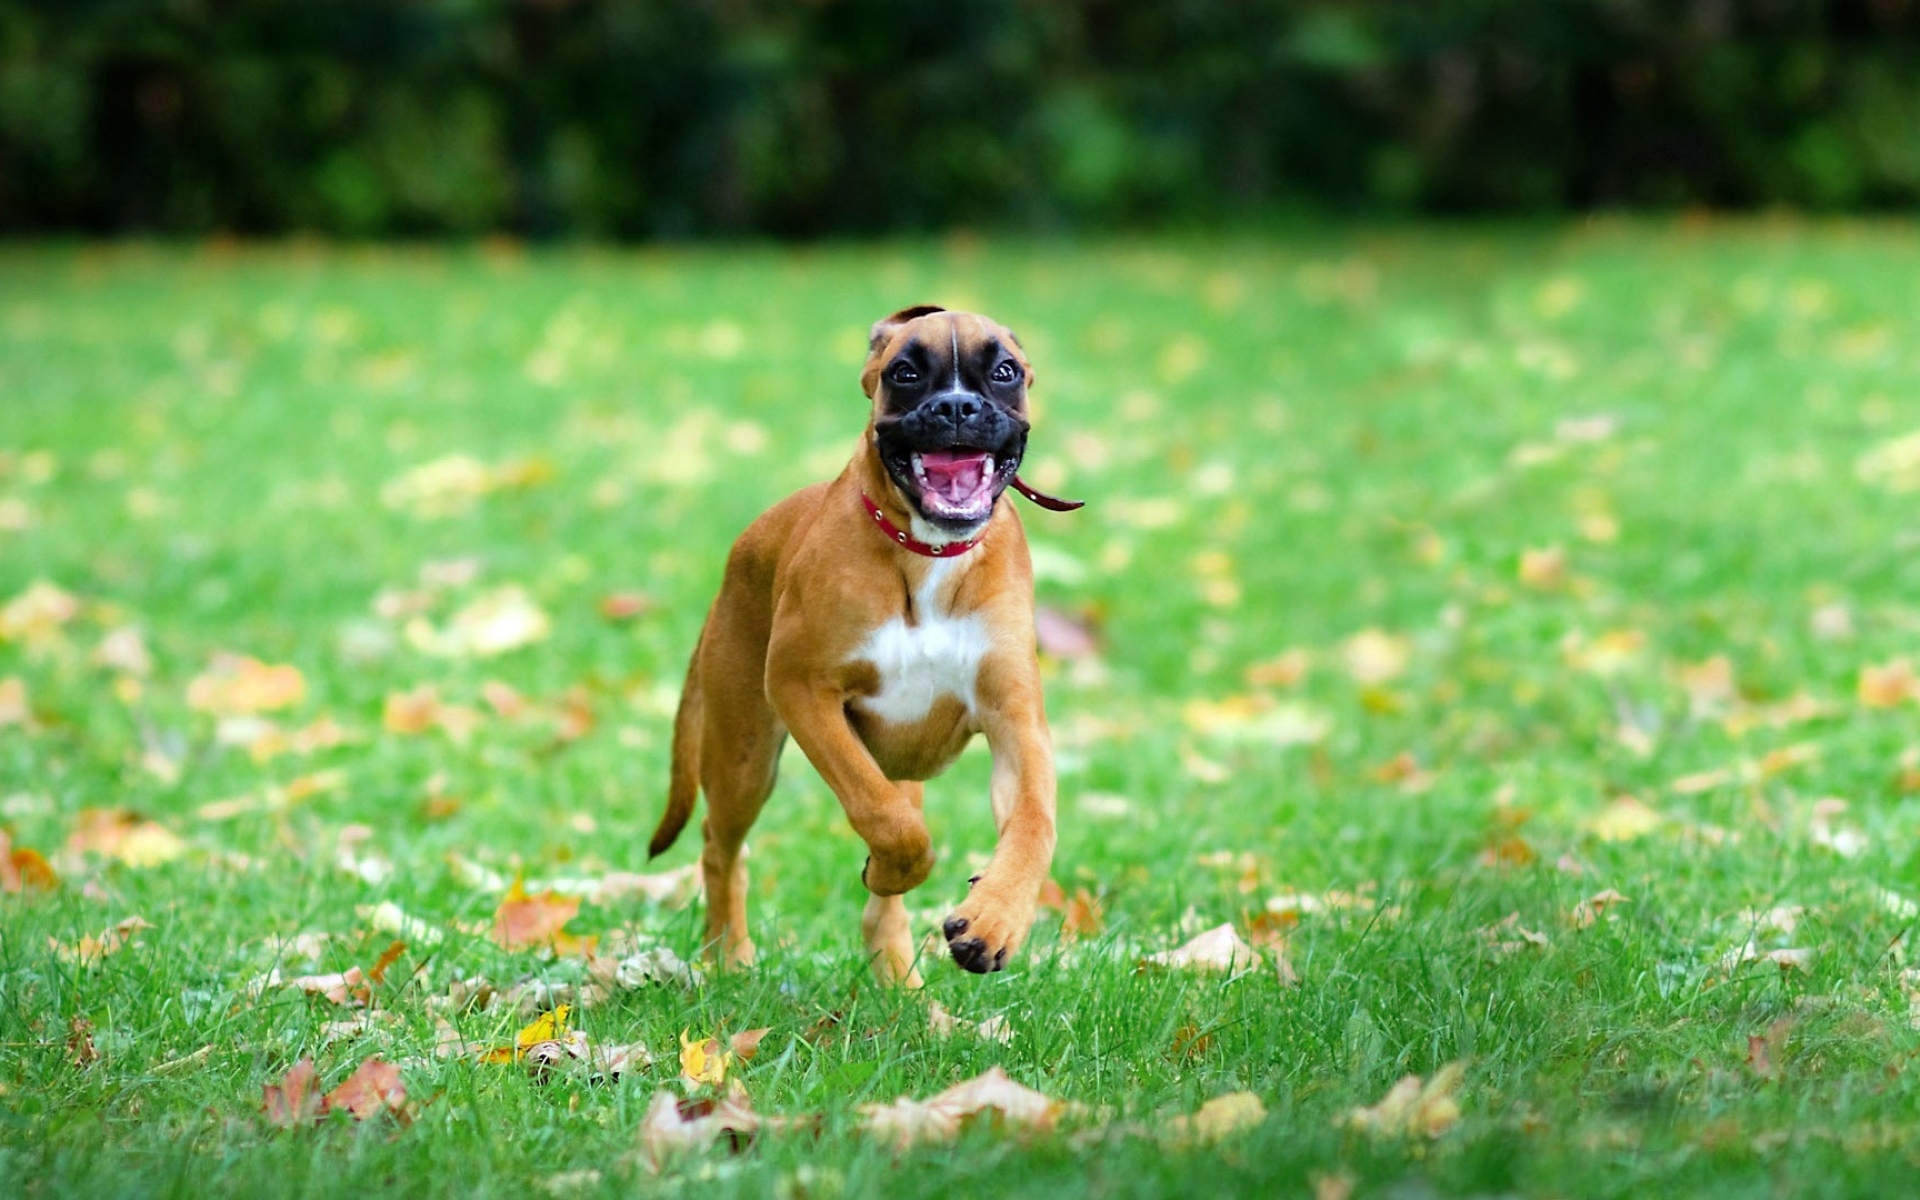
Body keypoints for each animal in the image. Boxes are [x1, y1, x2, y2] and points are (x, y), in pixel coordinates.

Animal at [648, 303, 1082, 979]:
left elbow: (1035, 824)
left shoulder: (1016, 721)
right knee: (723, 849)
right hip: (745, 754)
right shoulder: (802, 689)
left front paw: (994, 919)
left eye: (1004, 370)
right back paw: (730, 958)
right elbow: (886, 820)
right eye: (904, 372)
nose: (957, 407)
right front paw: (893, 867)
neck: (927, 554)